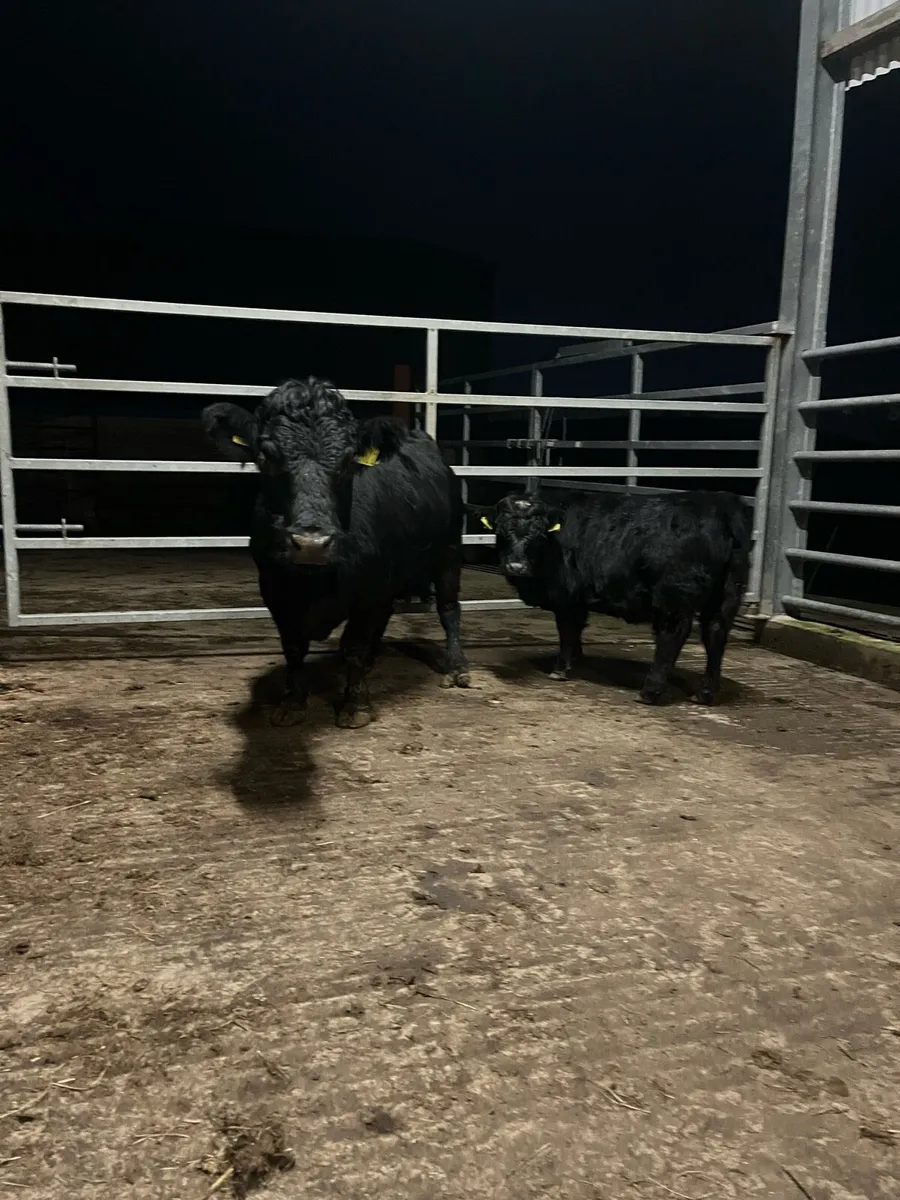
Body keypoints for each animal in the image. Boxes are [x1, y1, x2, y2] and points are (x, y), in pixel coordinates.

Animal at [202, 378, 469, 728]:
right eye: (266, 458)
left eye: (348, 462)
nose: (312, 543)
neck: (314, 581)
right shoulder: (274, 590)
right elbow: (293, 647)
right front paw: (293, 701)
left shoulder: (368, 590)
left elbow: (353, 644)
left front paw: (356, 705)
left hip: (449, 550)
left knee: (449, 608)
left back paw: (455, 667)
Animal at [478, 489, 752, 704]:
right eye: (501, 531)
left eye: (539, 534)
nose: (516, 566)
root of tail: (721, 506)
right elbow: (576, 631)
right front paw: (576, 659)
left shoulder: (567, 597)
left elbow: (567, 631)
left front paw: (560, 669)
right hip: (726, 595)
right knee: (715, 633)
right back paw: (705, 693)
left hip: (674, 596)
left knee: (673, 634)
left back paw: (650, 691)